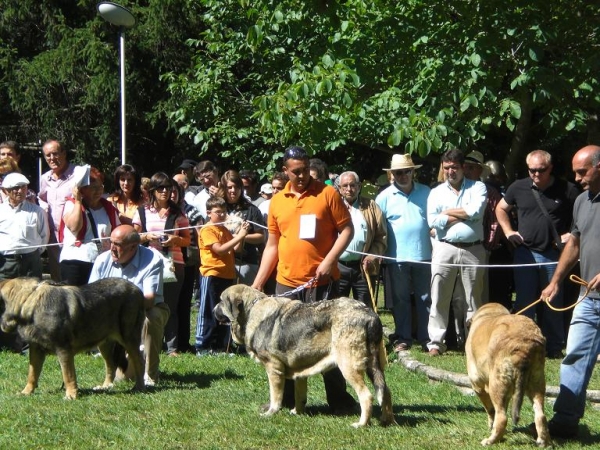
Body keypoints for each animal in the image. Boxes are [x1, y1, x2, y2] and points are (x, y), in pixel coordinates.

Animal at [0, 278, 145, 398]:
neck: (30, 299)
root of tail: (137, 289)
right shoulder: (36, 350)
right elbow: (32, 374)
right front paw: (26, 392)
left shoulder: (63, 349)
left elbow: (68, 375)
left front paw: (71, 395)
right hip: (105, 344)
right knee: (111, 365)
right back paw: (105, 386)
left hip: (128, 338)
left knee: (139, 362)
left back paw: (139, 387)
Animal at [213, 286, 396, 428]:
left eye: (221, 301)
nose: (213, 310)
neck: (251, 310)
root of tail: (370, 315)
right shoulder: (299, 370)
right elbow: (300, 395)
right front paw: (296, 412)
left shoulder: (274, 368)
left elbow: (275, 396)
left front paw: (271, 413)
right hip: (374, 365)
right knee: (385, 391)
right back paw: (388, 421)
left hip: (348, 366)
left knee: (367, 396)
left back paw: (361, 424)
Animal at [464, 302, 552, 446]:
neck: (490, 313)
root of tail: (524, 345)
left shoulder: (477, 385)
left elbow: (490, 410)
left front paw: (491, 426)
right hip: (537, 382)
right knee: (540, 415)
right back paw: (543, 441)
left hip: (497, 384)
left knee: (502, 417)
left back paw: (490, 440)